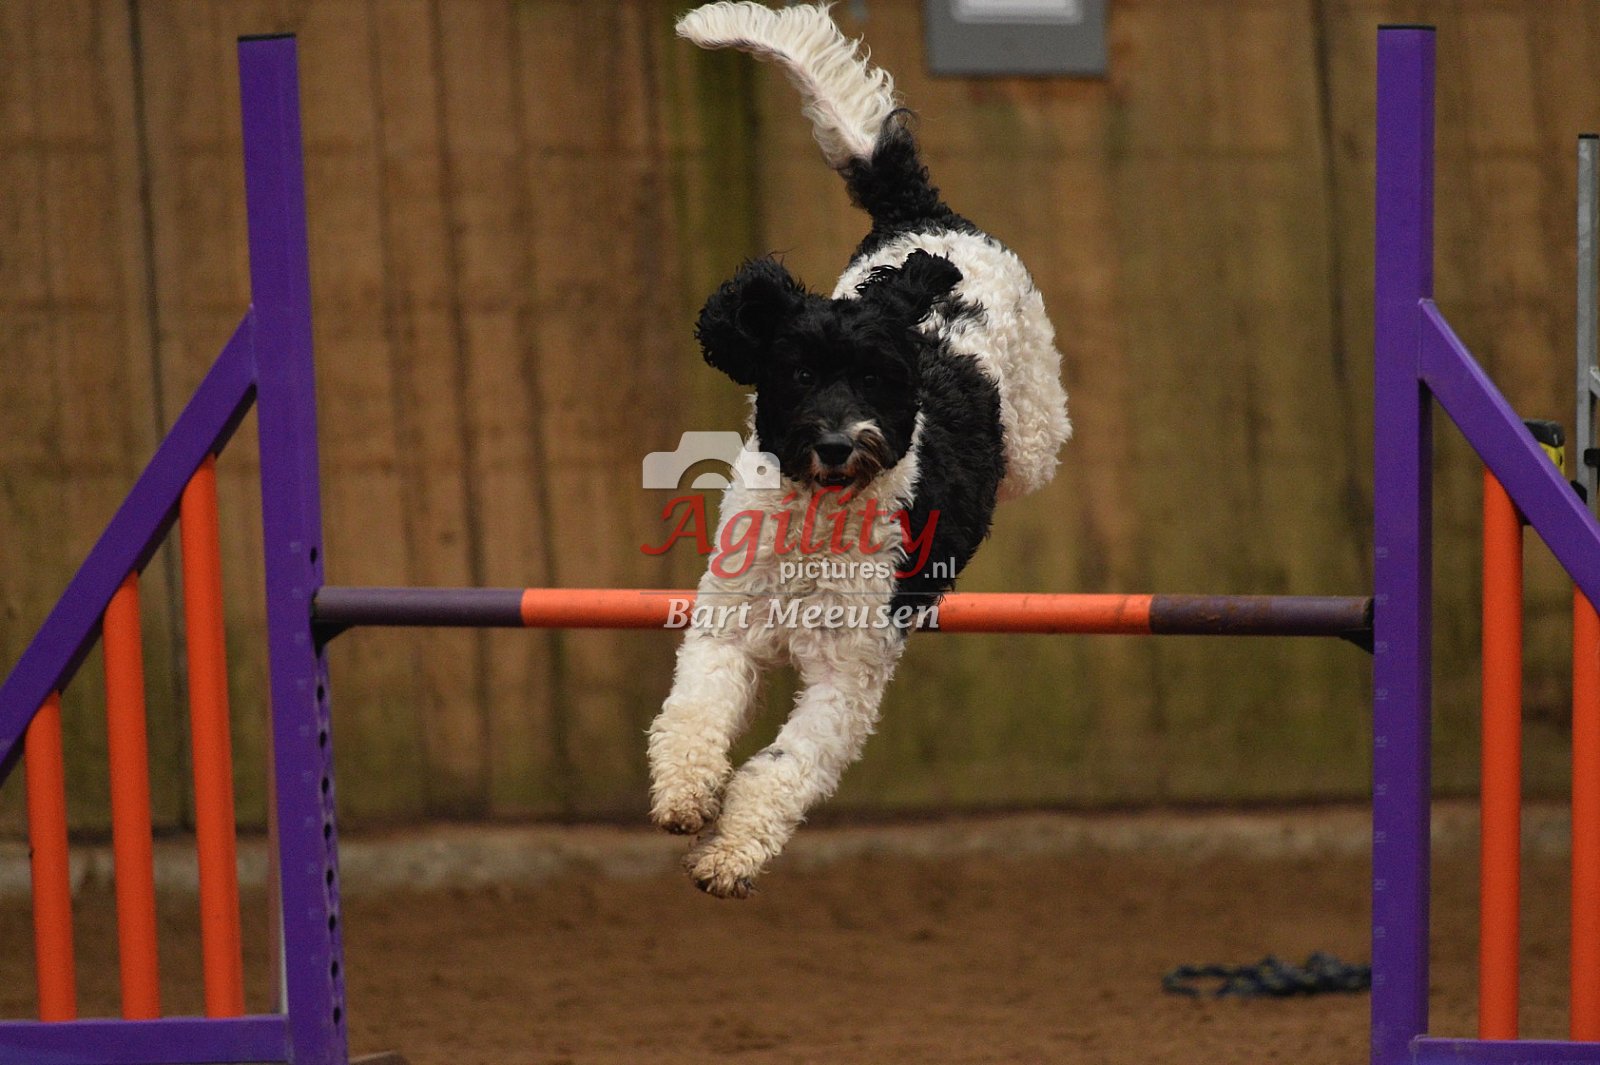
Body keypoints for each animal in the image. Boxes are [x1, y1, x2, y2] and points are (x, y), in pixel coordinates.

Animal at [647, 1, 1071, 898]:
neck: (818, 522)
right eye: (800, 373)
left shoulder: (846, 677)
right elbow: (692, 713)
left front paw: (732, 854)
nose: (840, 443)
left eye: (881, 379)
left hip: (1037, 438)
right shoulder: (727, 630)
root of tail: (924, 219)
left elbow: (780, 768)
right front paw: (685, 796)